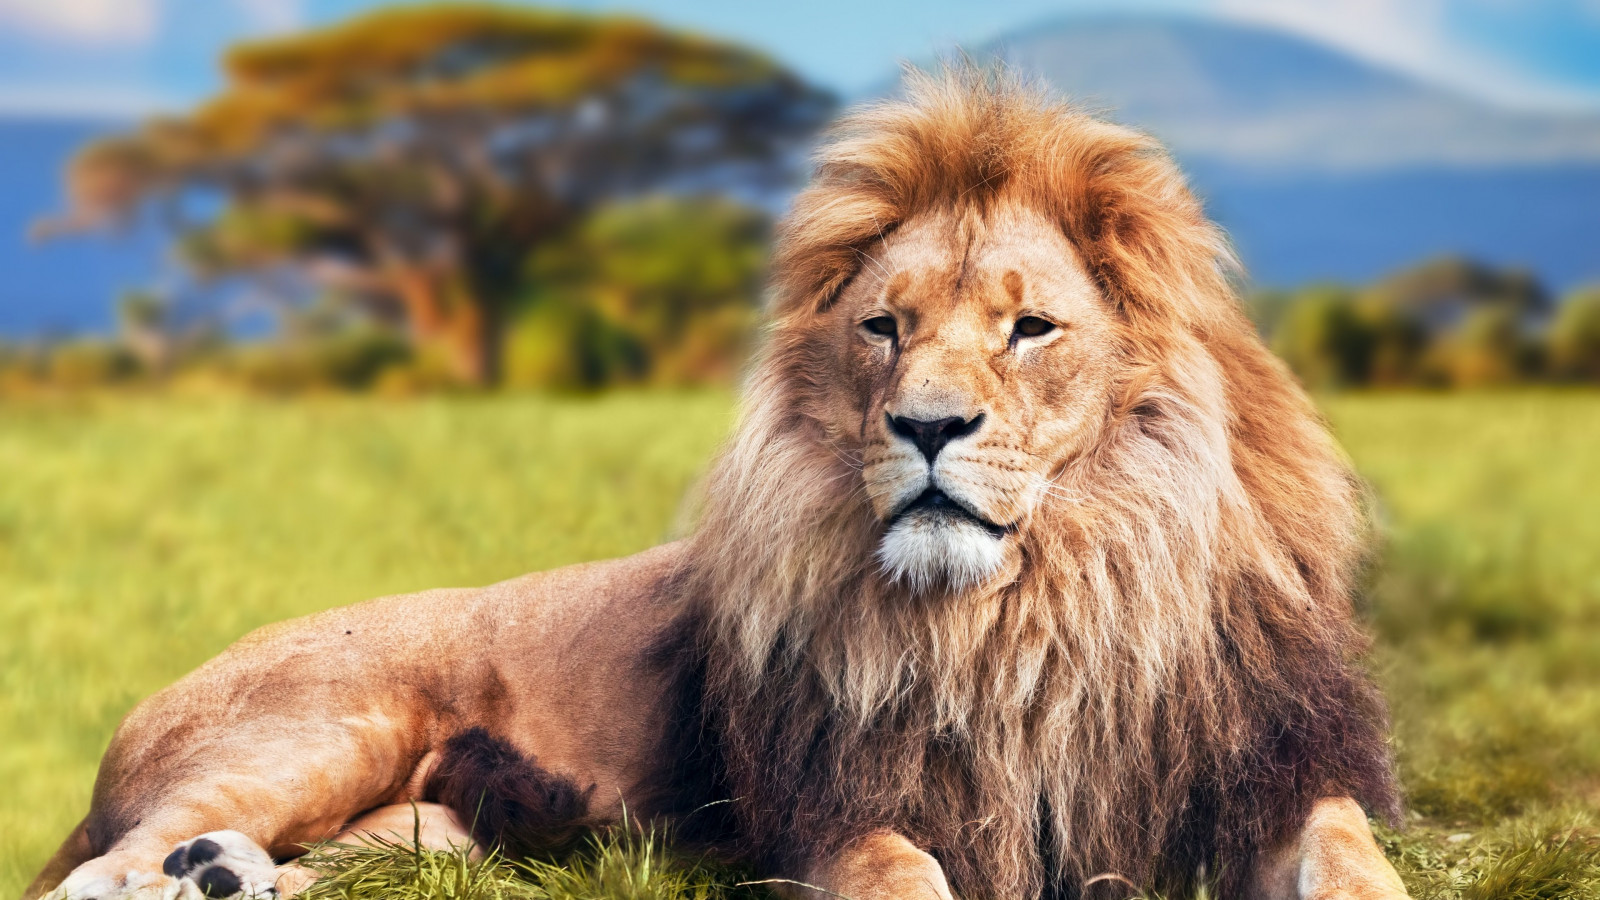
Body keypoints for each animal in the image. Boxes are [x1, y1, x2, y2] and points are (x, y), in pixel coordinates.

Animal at [28, 69, 1410, 900]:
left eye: (1030, 330)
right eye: (884, 329)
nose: (925, 426)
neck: (1037, 609)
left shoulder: (1269, 777)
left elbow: (1351, 861)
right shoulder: (837, 812)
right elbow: (908, 875)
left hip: (438, 844)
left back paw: (230, 876)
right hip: (324, 726)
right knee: (106, 874)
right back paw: (197, 867)